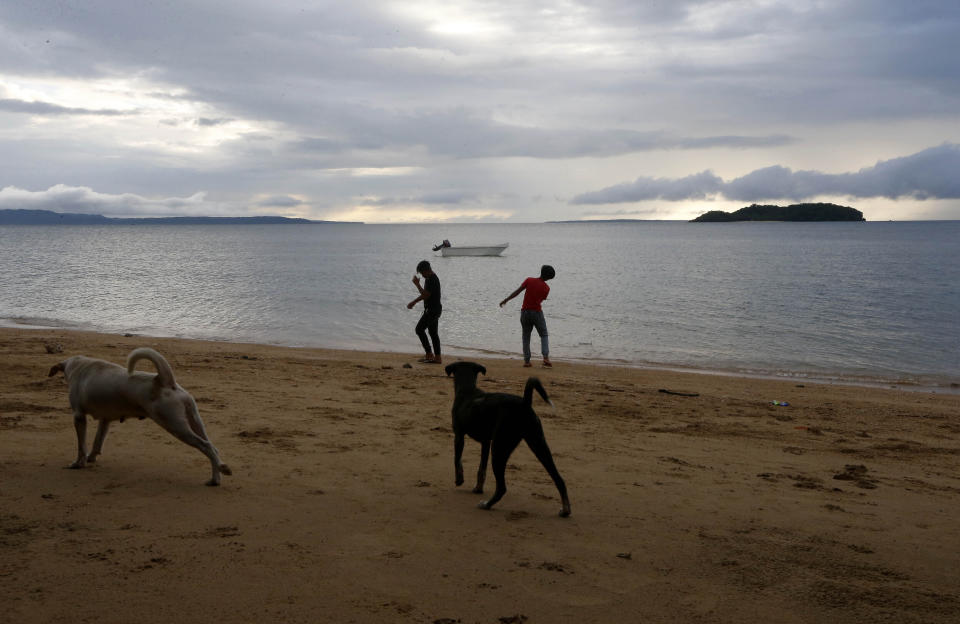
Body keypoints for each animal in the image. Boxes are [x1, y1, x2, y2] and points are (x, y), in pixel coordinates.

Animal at [50, 346, 232, 488]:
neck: (78, 366)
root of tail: (165, 380)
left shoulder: (79, 417)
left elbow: (81, 446)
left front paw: (78, 463)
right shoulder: (105, 419)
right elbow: (97, 441)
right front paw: (91, 458)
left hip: (174, 424)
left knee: (206, 446)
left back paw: (220, 473)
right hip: (194, 420)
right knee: (212, 446)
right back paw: (216, 476)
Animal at [444, 360, 568, 516]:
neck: (467, 391)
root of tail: (525, 404)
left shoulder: (459, 435)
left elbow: (457, 460)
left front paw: (459, 479)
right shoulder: (485, 442)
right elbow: (481, 469)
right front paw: (478, 488)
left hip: (499, 447)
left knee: (502, 487)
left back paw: (487, 504)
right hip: (538, 444)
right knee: (559, 479)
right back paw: (565, 510)